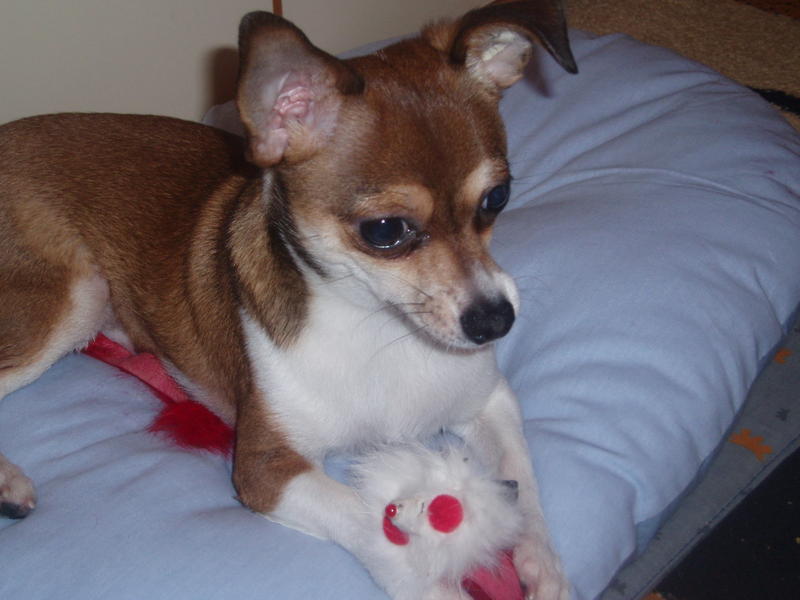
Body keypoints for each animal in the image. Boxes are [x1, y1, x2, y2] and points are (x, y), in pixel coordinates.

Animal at [0, 1, 577, 598]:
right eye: (385, 231)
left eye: (497, 197)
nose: (496, 320)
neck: (379, 328)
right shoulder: (266, 468)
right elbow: (370, 521)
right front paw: (434, 586)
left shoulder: (491, 402)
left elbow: (520, 478)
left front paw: (542, 564)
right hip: (76, 299)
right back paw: (10, 482)